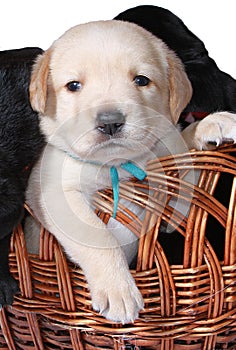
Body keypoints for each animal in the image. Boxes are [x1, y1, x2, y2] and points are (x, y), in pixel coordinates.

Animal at [26, 21, 236, 322]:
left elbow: (179, 144)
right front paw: (119, 290)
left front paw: (210, 125)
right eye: (73, 86)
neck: (116, 165)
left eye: (141, 80)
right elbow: (96, 235)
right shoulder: (53, 191)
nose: (110, 122)